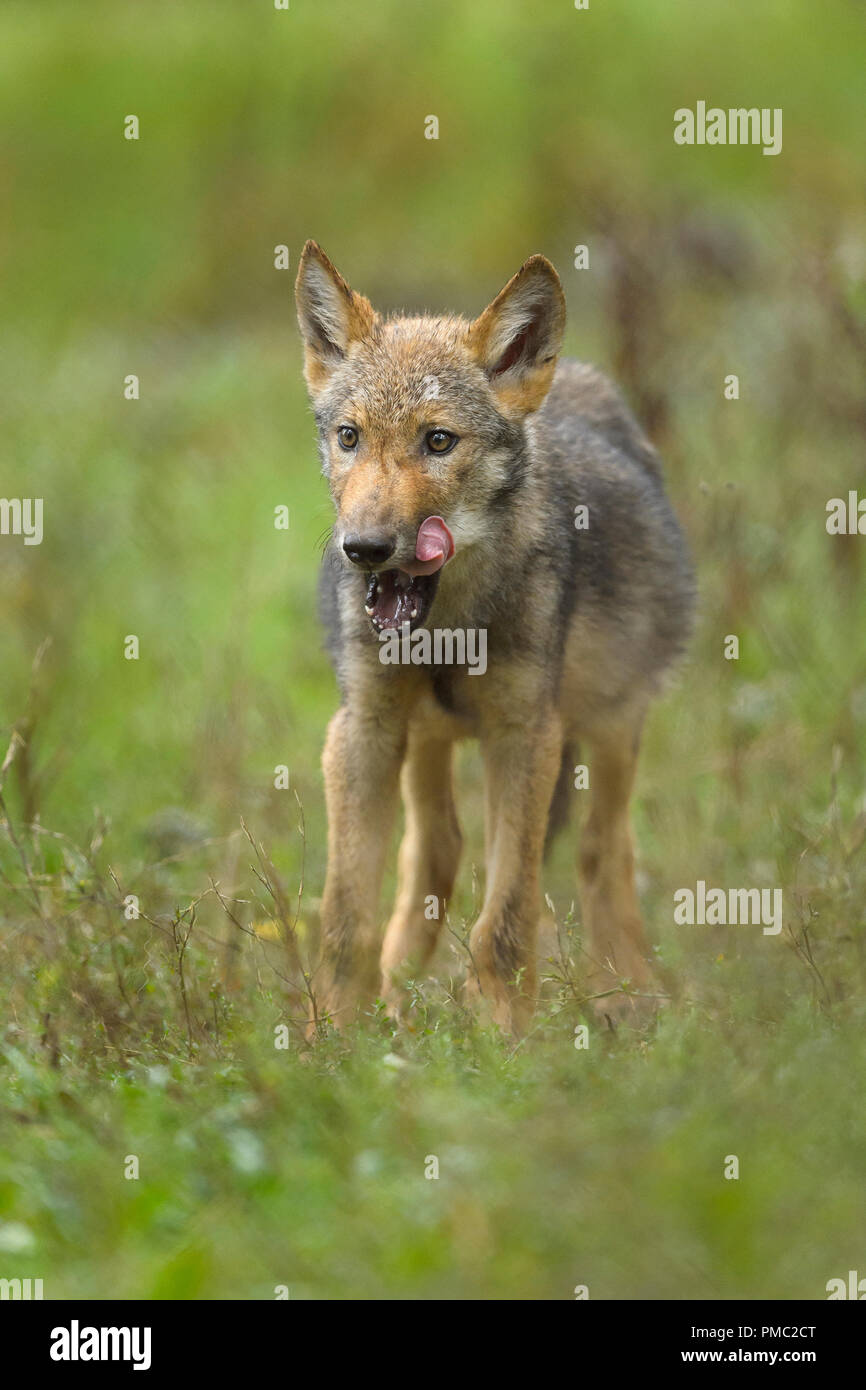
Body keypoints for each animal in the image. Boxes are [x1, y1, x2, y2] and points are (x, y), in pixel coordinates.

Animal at [295, 240, 694, 1034]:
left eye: (438, 441)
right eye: (350, 437)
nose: (364, 548)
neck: (448, 631)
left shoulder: (526, 735)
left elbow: (506, 919)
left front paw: (505, 1034)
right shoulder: (362, 733)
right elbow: (346, 918)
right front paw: (337, 1035)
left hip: (611, 725)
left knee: (605, 854)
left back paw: (633, 1001)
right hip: (425, 737)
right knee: (435, 853)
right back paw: (399, 995)